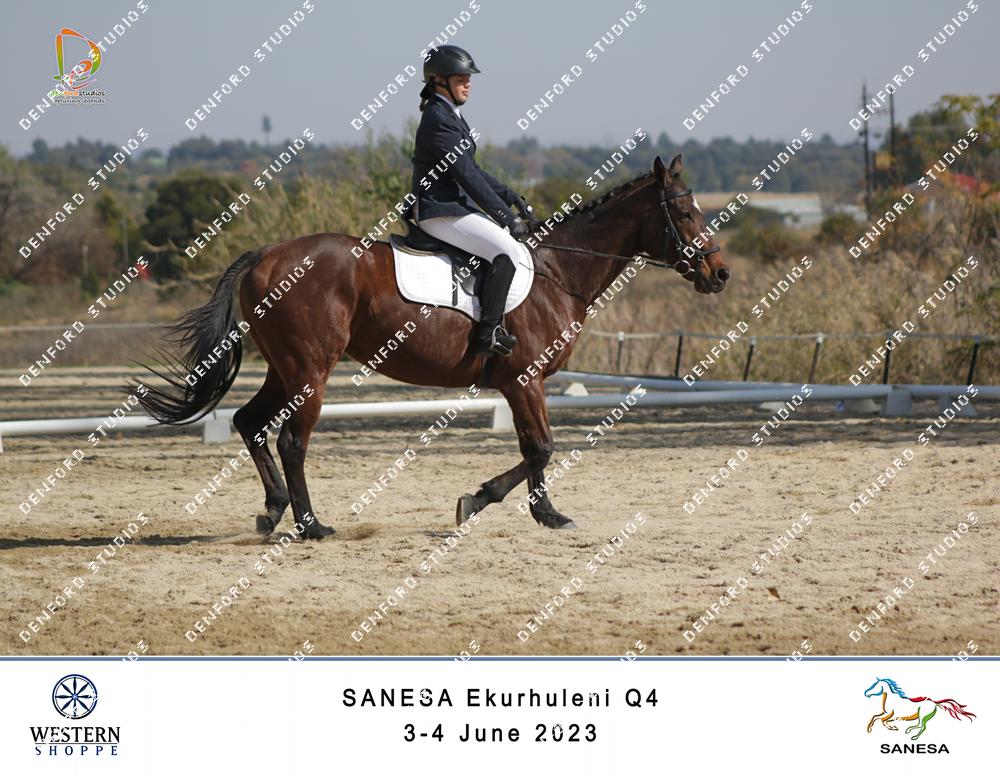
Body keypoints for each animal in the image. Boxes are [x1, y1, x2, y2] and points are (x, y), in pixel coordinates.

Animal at [131, 154, 729, 539]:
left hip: (286, 368)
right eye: (684, 212)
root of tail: (266, 255)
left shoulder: (523, 384)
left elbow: (533, 449)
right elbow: (541, 447)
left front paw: (533, 512)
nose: (719, 274)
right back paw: (312, 525)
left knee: (249, 422)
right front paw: (491, 505)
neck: (558, 272)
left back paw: (273, 511)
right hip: (310, 371)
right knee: (291, 441)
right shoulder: (523, 380)